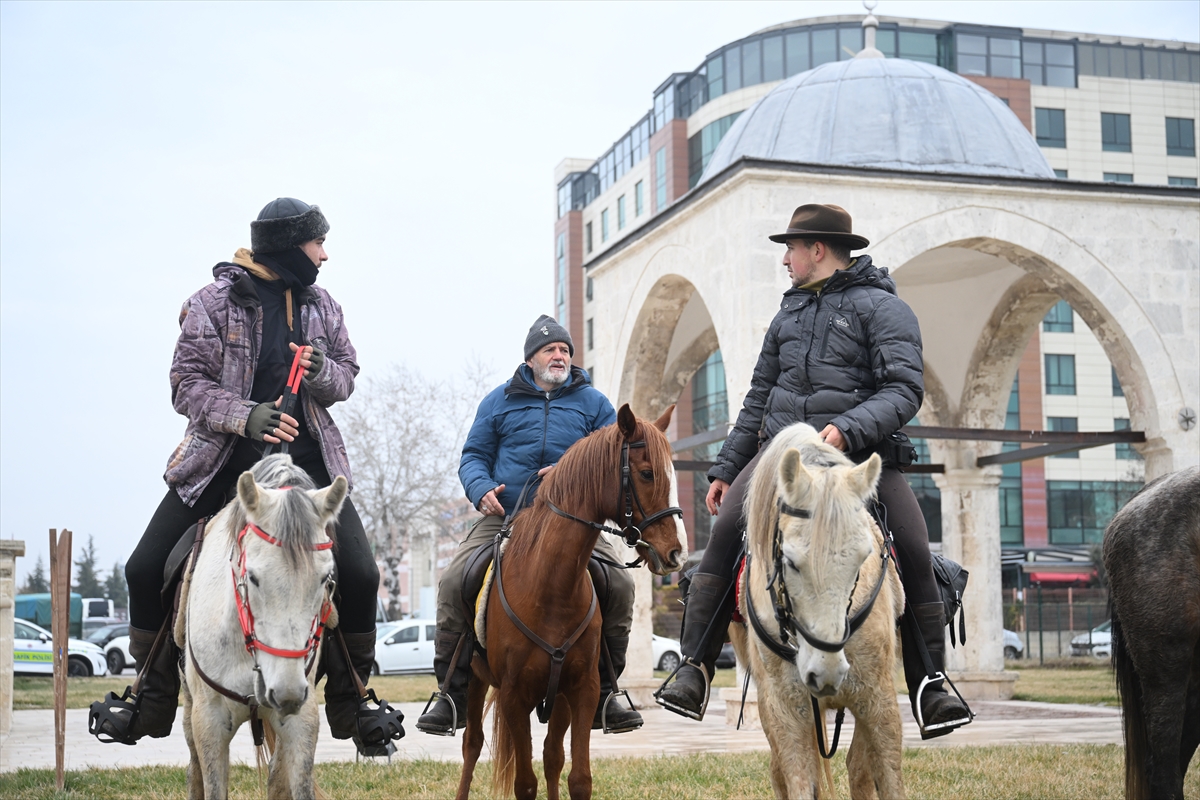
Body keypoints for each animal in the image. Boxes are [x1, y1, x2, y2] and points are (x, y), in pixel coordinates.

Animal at [175, 455, 350, 800]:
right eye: (253, 577)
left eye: (326, 578)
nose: (286, 691)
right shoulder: (209, 721)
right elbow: (211, 784)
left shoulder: (302, 718)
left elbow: (291, 784)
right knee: (194, 769)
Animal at [456, 407, 691, 800]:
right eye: (647, 473)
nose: (677, 553)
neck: (552, 590)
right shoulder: (513, 695)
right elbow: (525, 784)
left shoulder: (582, 690)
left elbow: (577, 777)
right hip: (476, 680)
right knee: (471, 745)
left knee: (552, 755)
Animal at [724, 422, 902, 796]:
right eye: (790, 561)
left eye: (863, 558)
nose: (827, 672)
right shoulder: (783, 708)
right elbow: (798, 782)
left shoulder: (879, 698)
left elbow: (889, 778)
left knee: (858, 769)